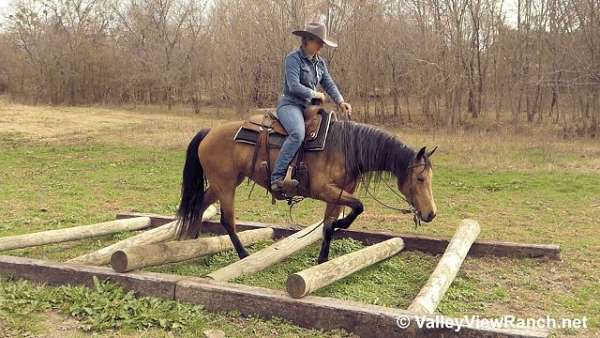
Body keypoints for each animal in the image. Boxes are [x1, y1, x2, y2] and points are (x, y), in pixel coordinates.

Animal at [173, 105, 436, 264]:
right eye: (420, 178)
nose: (431, 213)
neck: (344, 148)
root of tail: (209, 133)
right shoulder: (324, 190)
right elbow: (359, 206)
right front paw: (341, 224)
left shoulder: (337, 195)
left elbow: (329, 226)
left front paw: (323, 260)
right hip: (226, 185)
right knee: (227, 220)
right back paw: (243, 254)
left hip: (223, 184)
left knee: (199, 204)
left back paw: (192, 242)